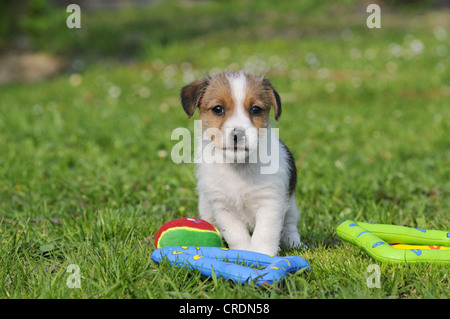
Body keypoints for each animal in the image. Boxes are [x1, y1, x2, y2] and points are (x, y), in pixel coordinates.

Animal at [180, 71, 302, 256]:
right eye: (218, 109)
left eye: (255, 109)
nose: (238, 134)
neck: (238, 167)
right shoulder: (223, 208)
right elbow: (236, 235)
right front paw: (243, 254)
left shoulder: (270, 203)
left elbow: (264, 234)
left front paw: (262, 256)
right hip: (205, 207)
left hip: (291, 205)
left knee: (290, 224)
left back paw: (293, 242)